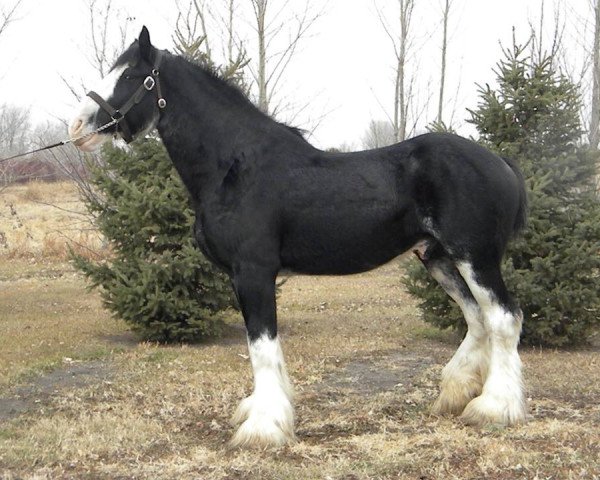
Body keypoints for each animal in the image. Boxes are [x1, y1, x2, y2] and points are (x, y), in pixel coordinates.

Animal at [70, 28, 528, 448]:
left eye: (132, 75)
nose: (77, 126)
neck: (234, 166)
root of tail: (501, 162)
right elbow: (261, 349)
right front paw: (261, 412)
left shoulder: (253, 272)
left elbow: (262, 347)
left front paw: (264, 428)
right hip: (438, 257)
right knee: (476, 317)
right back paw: (456, 392)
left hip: (475, 256)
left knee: (503, 318)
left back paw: (494, 407)